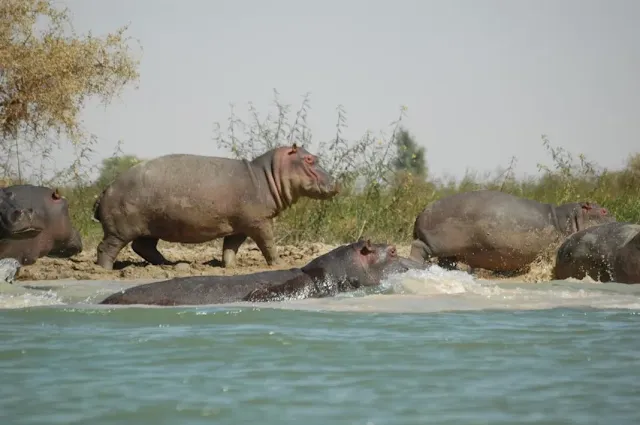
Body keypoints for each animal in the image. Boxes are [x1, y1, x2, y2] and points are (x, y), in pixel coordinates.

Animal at [92, 142, 340, 268]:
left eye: (315, 157)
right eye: (309, 159)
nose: (336, 182)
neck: (268, 175)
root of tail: (106, 188)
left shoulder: (241, 225)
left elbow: (230, 247)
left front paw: (229, 267)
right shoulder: (259, 222)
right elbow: (268, 243)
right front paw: (280, 264)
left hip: (152, 226)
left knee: (143, 247)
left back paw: (170, 264)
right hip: (121, 229)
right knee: (106, 248)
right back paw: (105, 271)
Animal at [410, 189, 616, 272]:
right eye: (604, 211)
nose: (615, 219)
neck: (569, 219)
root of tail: (421, 212)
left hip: (451, 252)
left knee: (446, 262)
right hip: (435, 244)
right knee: (418, 247)